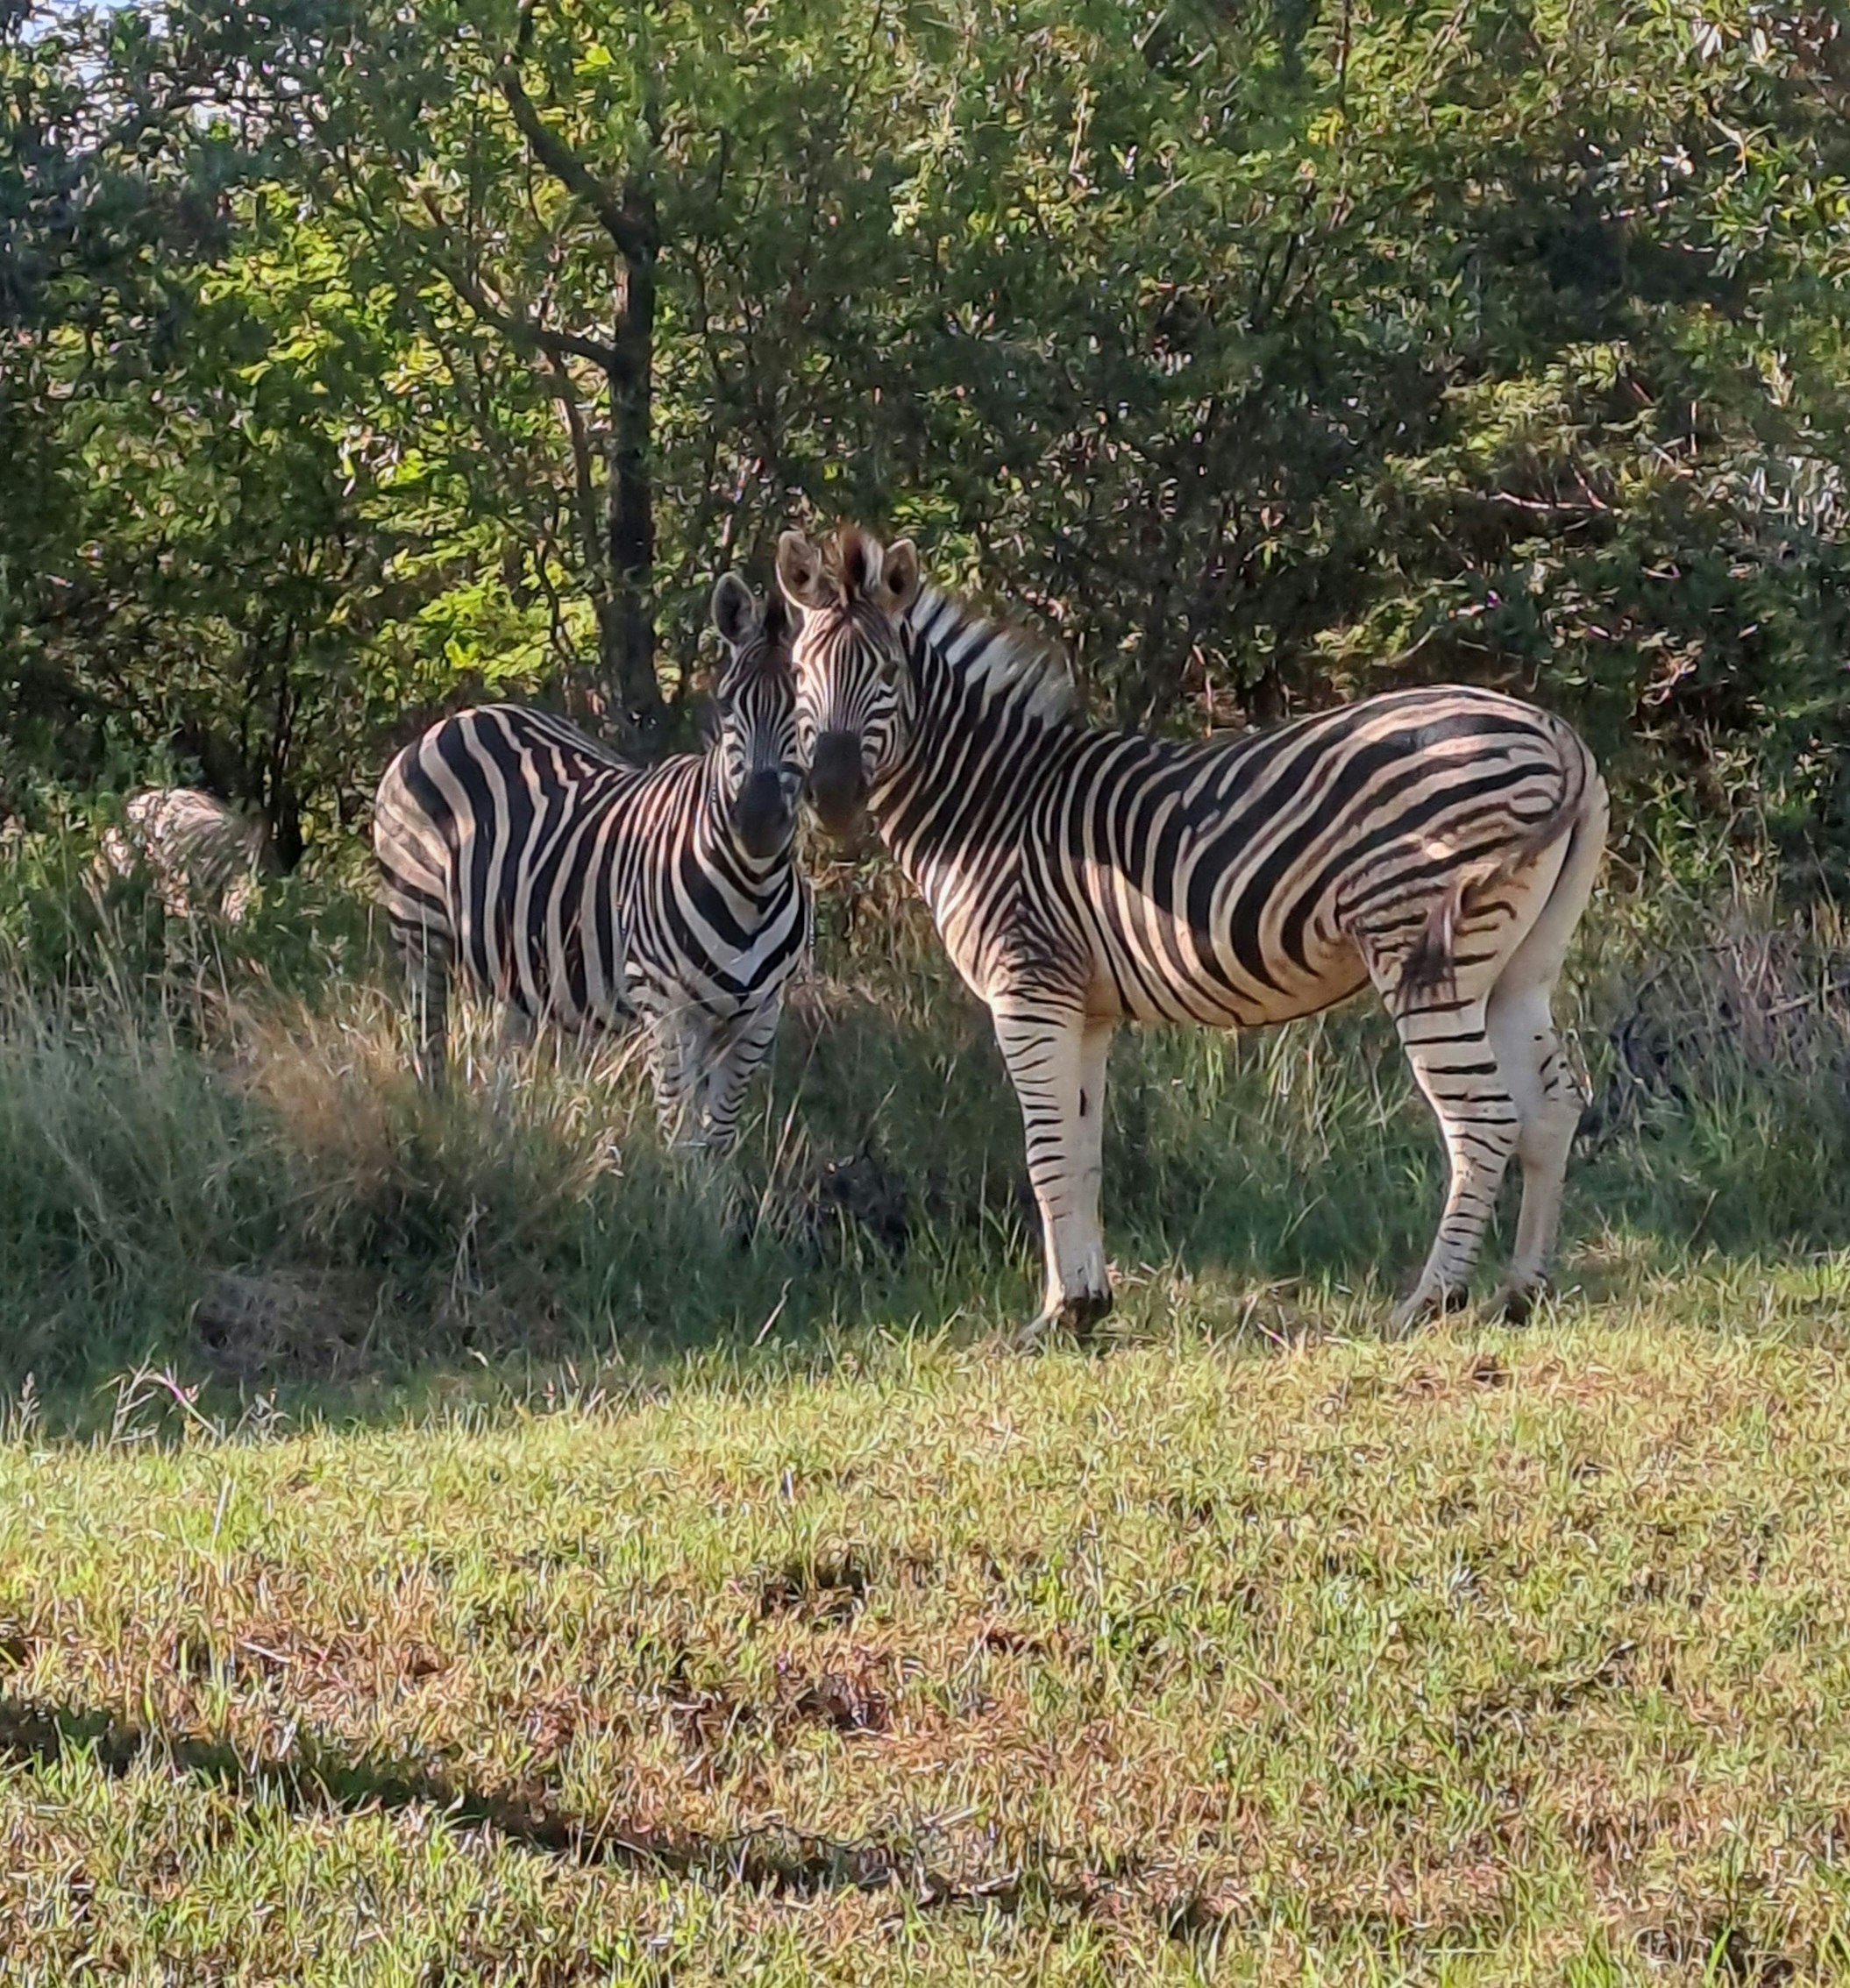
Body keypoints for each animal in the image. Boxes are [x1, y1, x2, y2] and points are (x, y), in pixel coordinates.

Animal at [372, 575, 809, 1155]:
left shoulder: (757, 1019)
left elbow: (716, 1141)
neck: (751, 892)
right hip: (419, 928)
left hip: (513, 955)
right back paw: (436, 1131)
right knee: (429, 1044)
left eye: (805, 708)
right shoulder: (667, 1009)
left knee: (502, 1054)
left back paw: (501, 1144)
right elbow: (682, 1142)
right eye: (726, 706)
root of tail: (459, 718)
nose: (757, 821)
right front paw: (680, 1182)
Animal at [776, 525, 1609, 1337]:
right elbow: (1081, 1154)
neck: (988, 801)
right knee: (1552, 1107)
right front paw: (1083, 1305)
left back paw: (1429, 1302)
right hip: (1516, 965)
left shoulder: (1028, 986)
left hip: (1422, 946)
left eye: (888, 674)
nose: (834, 798)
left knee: (1483, 1118)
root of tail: (1554, 731)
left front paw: (1055, 1317)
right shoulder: (1085, 1006)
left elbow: (1044, 1153)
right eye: (798, 674)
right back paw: (1520, 1294)